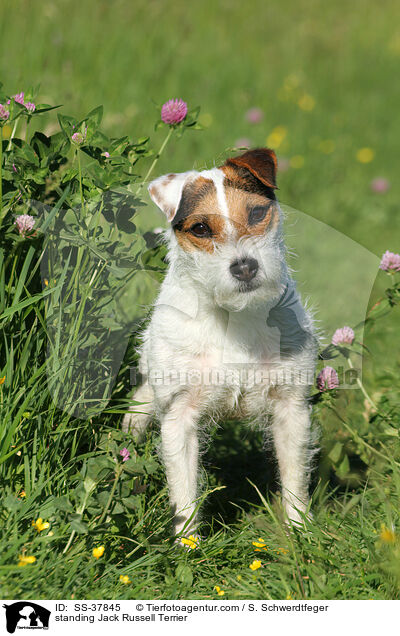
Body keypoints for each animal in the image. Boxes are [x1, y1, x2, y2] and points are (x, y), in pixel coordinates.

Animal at [123, 148, 318, 536]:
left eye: (256, 214)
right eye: (200, 228)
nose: (245, 267)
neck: (234, 316)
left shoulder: (291, 407)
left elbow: (294, 477)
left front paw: (300, 531)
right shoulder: (179, 415)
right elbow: (184, 491)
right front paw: (188, 543)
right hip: (148, 396)